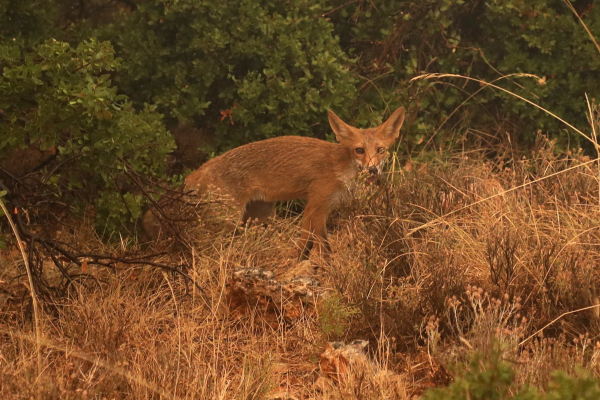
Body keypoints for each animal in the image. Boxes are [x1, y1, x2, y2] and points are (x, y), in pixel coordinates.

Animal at [143, 108, 406, 260]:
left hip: (256, 215)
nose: (372, 169)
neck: (342, 169)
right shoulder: (315, 207)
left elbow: (314, 246)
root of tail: (197, 172)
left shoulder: (318, 210)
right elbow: (316, 247)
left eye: (380, 150)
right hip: (226, 222)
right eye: (359, 150)